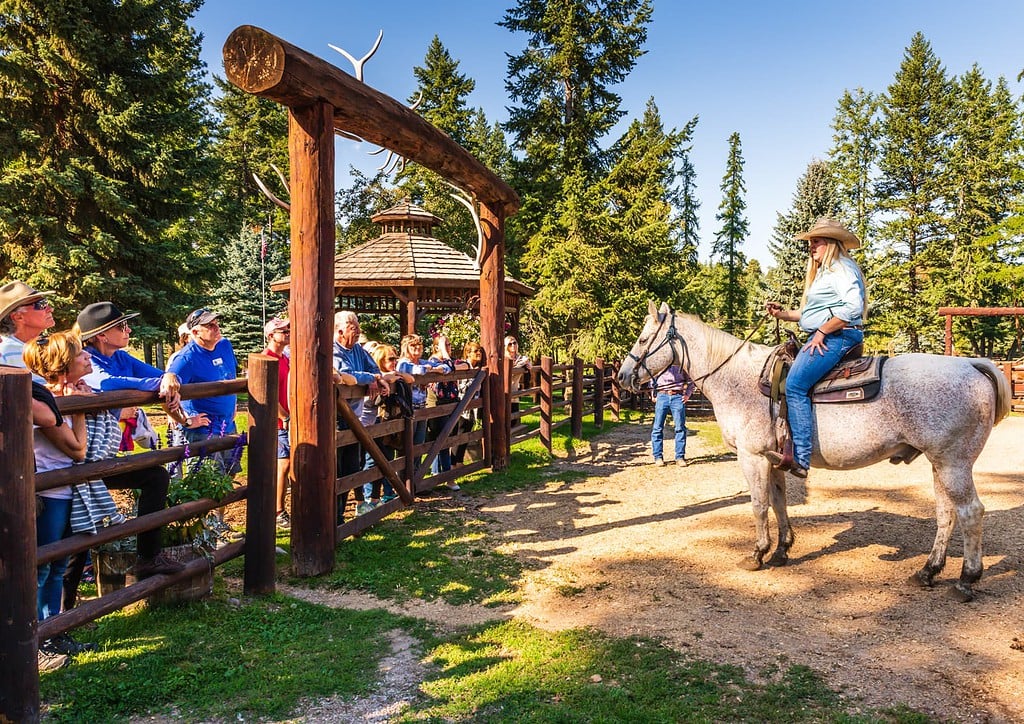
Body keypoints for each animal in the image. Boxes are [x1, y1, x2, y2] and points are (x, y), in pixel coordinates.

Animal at [618, 301, 1011, 602]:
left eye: (643, 338)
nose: (622, 377)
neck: (739, 380)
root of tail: (970, 364)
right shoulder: (774, 460)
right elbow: (779, 504)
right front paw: (781, 550)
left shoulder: (751, 457)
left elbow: (759, 505)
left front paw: (757, 554)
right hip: (939, 463)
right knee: (946, 514)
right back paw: (928, 571)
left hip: (954, 463)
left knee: (971, 512)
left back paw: (966, 580)